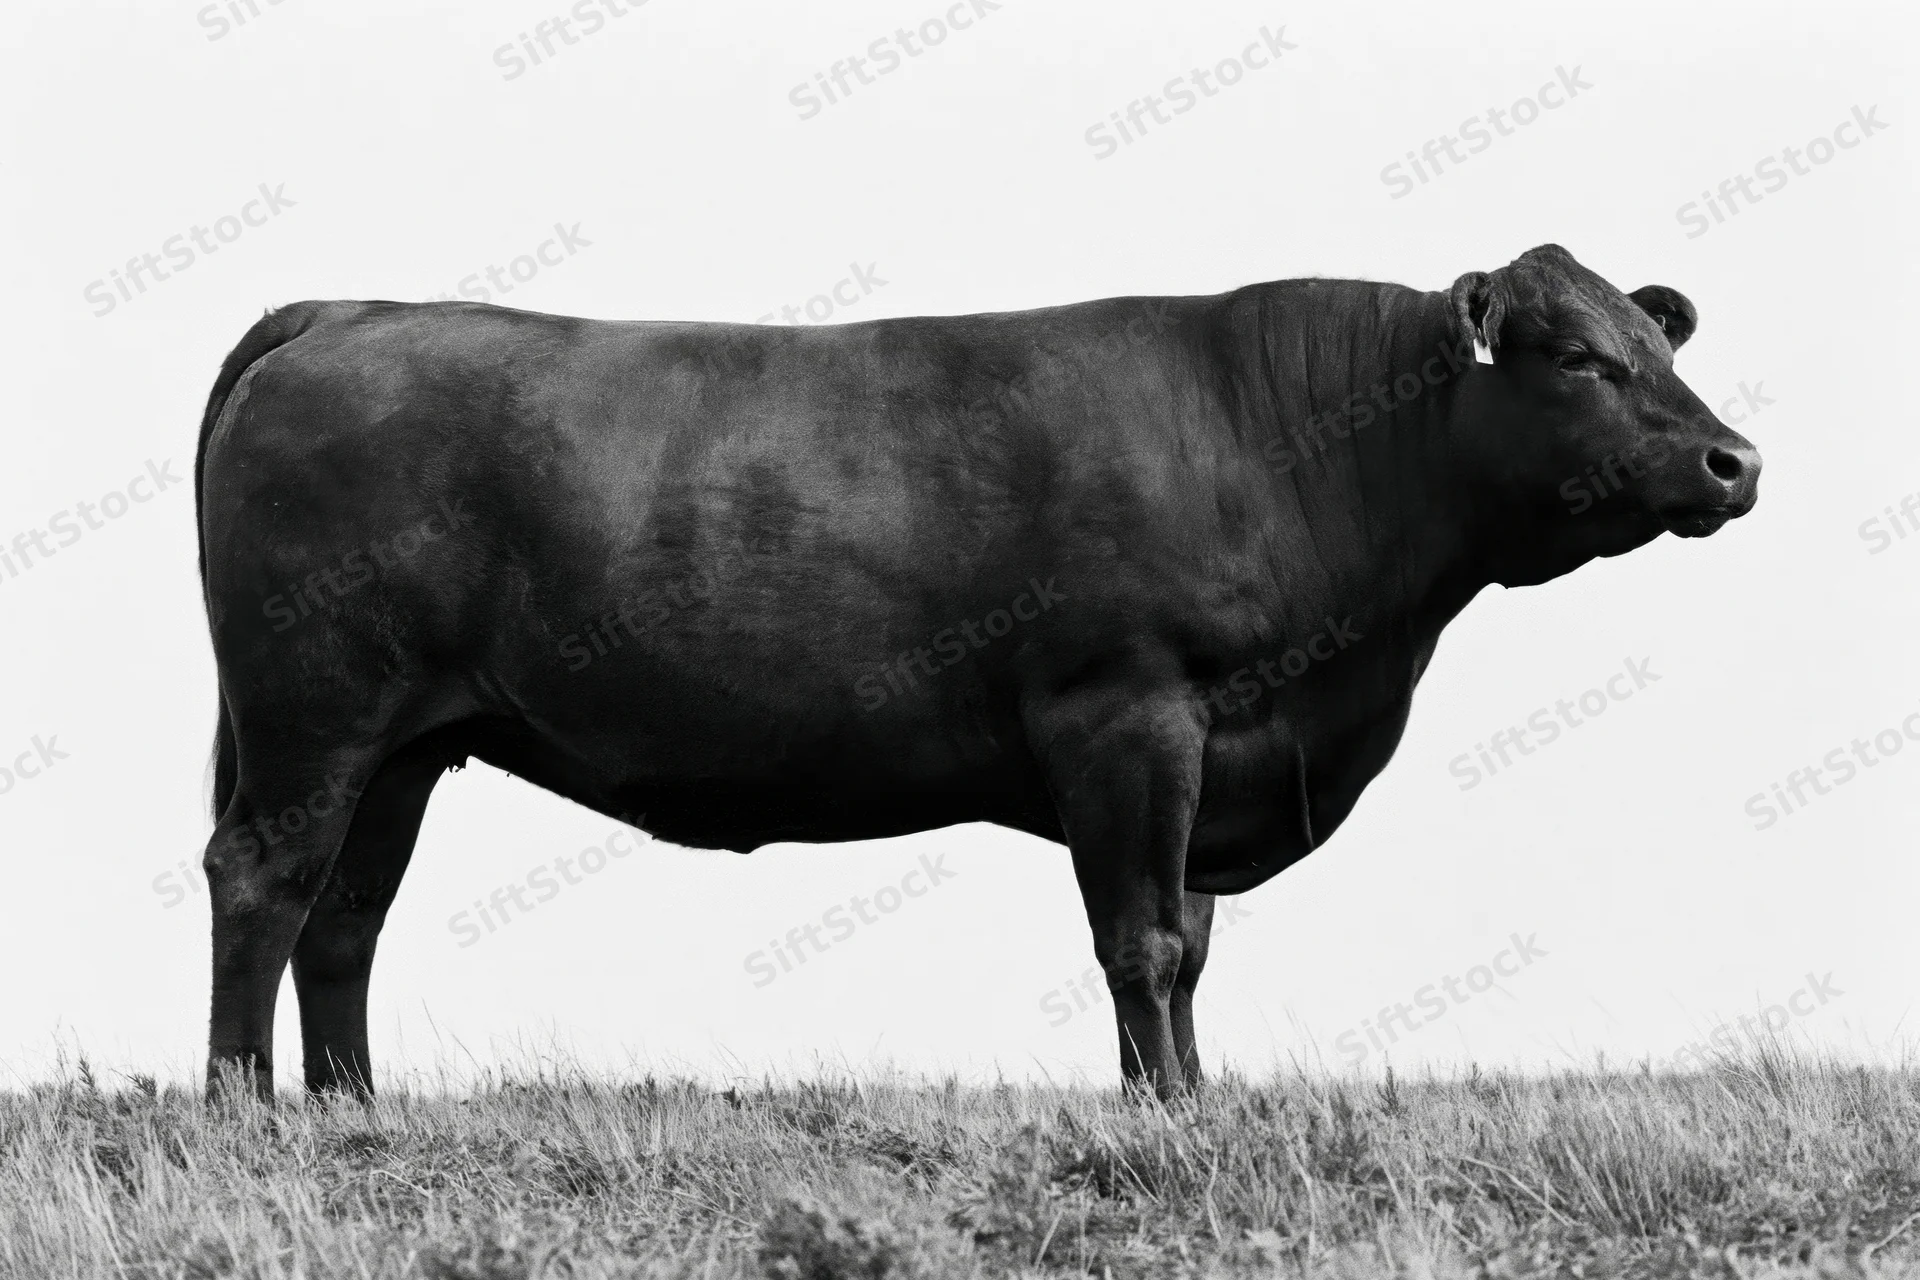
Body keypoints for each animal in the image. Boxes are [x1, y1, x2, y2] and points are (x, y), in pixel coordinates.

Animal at [194, 243, 1760, 1100]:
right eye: (1576, 356)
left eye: (1655, 338)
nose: (1732, 461)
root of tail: (348, 311)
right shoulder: (1127, 714)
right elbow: (1141, 941)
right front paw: (1163, 1118)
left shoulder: (1211, 744)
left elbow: (1191, 946)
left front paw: (1195, 1098)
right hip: (312, 707)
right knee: (262, 881)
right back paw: (243, 1110)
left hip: (403, 738)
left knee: (347, 915)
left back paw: (353, 1114)